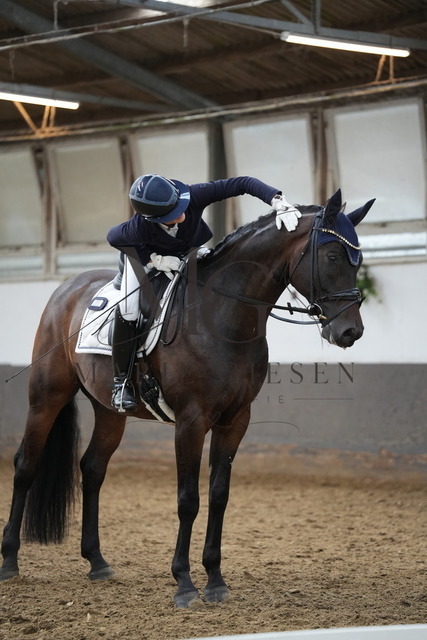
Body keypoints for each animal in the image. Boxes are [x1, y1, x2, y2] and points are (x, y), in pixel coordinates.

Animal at [0, 188, 374, 608]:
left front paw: (215, 579)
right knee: (25, 466)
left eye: (358, 259)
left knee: (93, 468)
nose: (350, 332)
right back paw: (10, 561)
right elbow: (188, 499)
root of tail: (68, 286)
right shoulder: (191, 422)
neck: (225, 317)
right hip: (46, 398)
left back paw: (96, 562)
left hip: (110, 412)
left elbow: (218, 495)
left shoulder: (234, 420)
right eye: (332, 256)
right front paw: (184, 582)